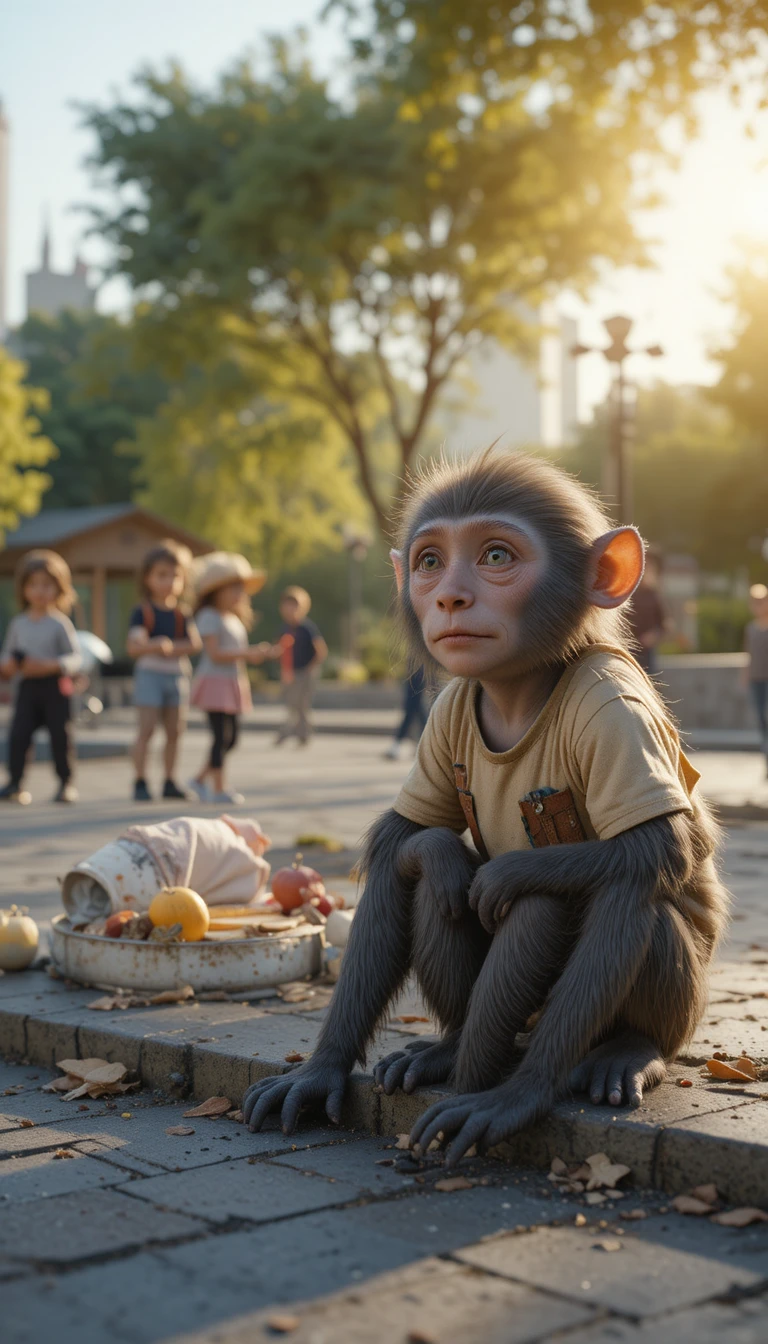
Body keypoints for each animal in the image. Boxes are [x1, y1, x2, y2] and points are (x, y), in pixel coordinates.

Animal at [243, 450, 729, 1165]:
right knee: (436, 873)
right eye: (430, 562)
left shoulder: (615, 707)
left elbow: (652, 853)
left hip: (676, 1010)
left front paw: (514, 1100)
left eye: (496, 556)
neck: (520, 691)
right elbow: (404, 840)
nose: (450, 597)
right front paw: (319, 1071)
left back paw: (622, 1052)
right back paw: (448, 1050)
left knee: (589, 891)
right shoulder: (445, 713)